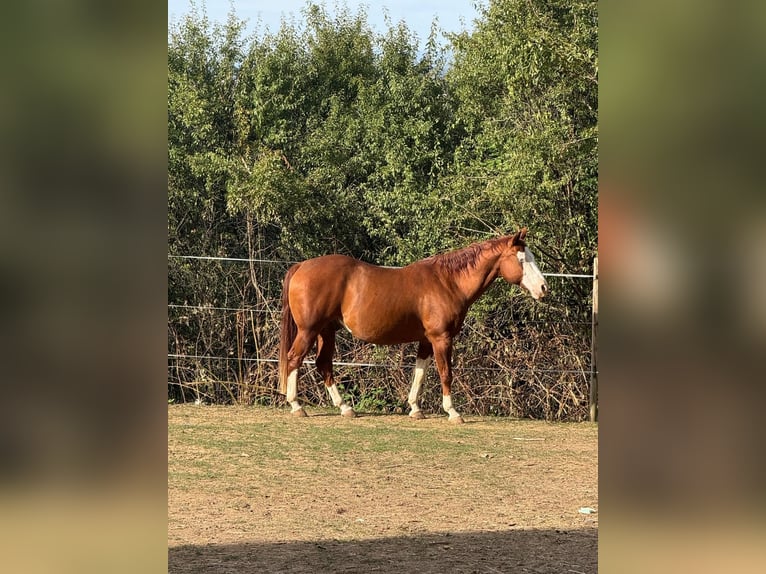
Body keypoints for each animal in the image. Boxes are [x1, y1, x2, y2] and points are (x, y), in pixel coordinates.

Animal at [278, 228, 548, 423]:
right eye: (521, 259)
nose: (544, 288)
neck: (448, 282)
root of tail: (301, 266)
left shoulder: (426, 340)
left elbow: (420, 372)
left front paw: (415, 408)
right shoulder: (441, 338)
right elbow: (445, 373)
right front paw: (453, 412)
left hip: (326, 331)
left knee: (323, 364)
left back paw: (345, 408)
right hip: (309, 330)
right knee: (294, 359)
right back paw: (297, 405)